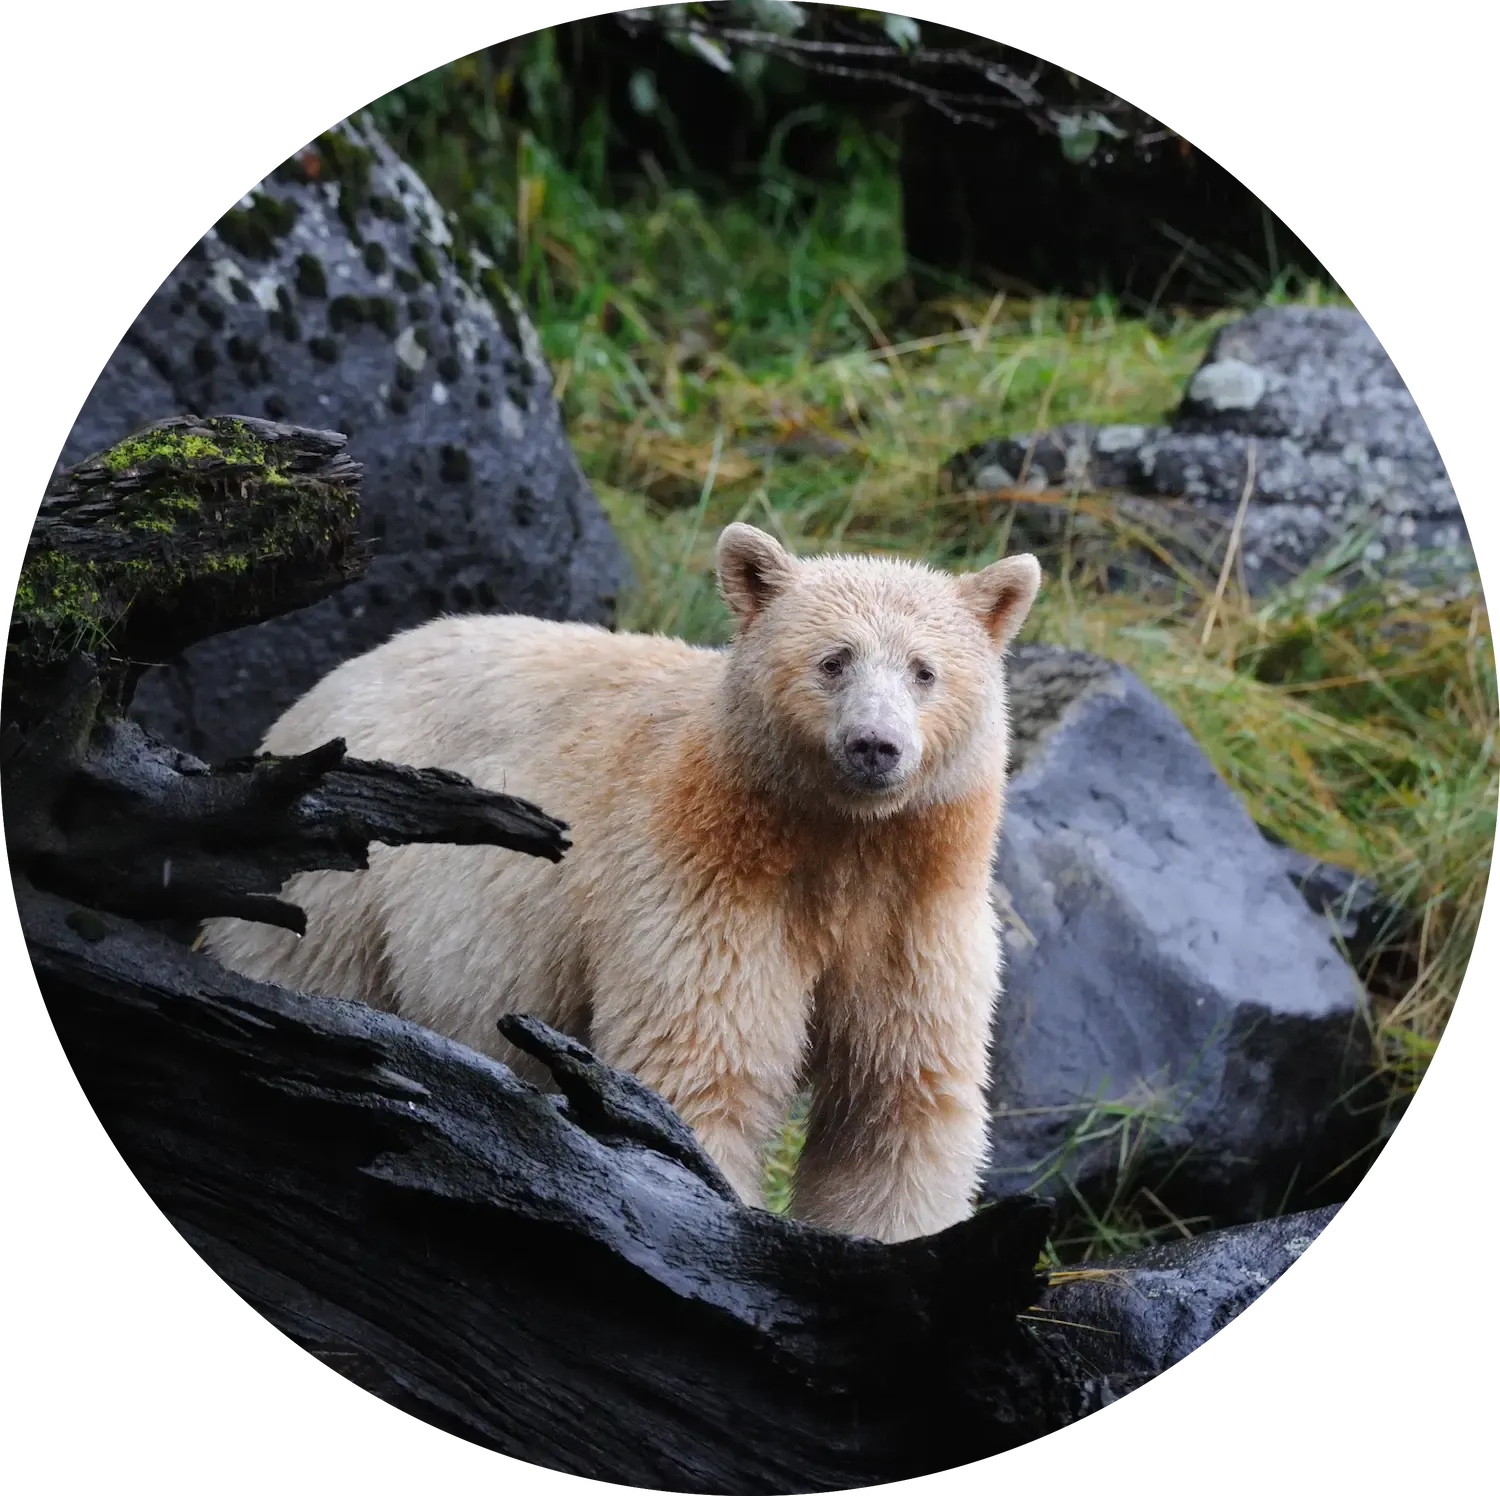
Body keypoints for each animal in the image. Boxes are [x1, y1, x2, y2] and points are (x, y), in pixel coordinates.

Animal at [199, 523, 1041, 1244]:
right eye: (834, 660)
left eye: (925, 670)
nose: (875, 746)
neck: (835, 840)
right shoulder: (702, 879)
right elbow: (702, 1069)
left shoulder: (913, 909)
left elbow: (896, 1106)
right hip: (343, 880)